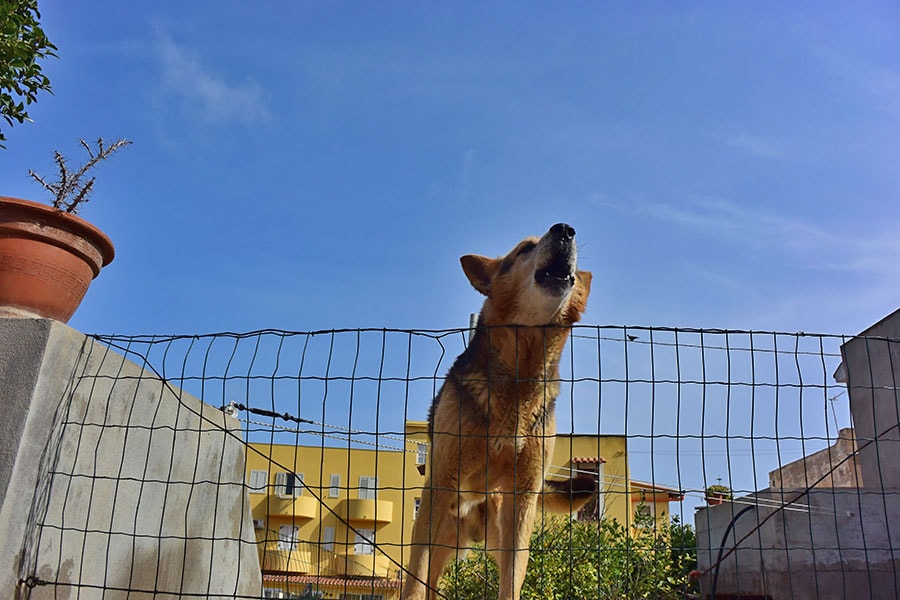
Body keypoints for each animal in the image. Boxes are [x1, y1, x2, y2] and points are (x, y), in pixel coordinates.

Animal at [400, 221, 592, 600]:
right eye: (525, 249)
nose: (565, 229)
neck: (520, 379)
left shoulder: (523, 501)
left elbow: (512, 579)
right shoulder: (440, 483)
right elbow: (413, 581)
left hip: (498, 536)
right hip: (438, 539)